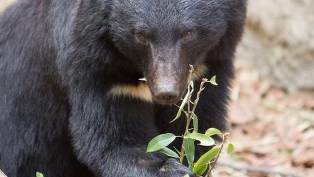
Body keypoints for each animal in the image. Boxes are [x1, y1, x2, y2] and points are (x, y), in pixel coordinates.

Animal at [0, 0, 247, 176]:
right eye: (141, 35)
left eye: (188, 33)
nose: (166, 92)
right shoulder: (99, 72)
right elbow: (112, 141)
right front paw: (173, 170)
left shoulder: (206, 70)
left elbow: (198, 131)